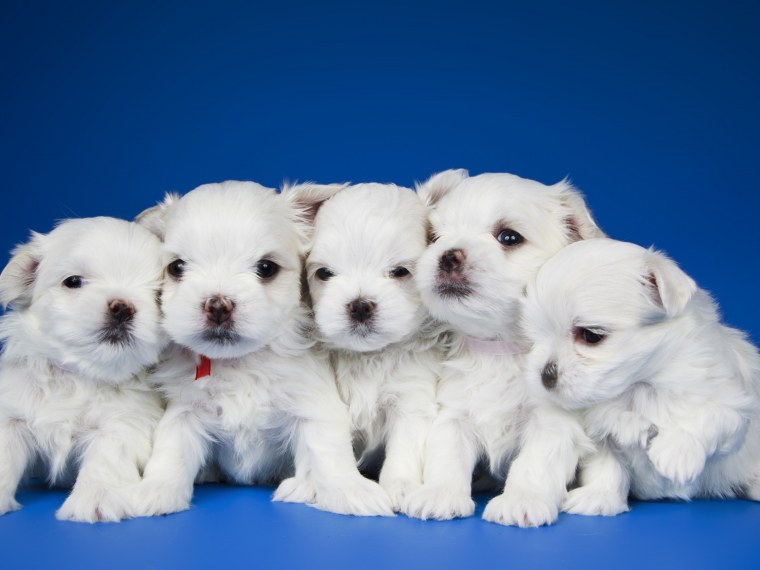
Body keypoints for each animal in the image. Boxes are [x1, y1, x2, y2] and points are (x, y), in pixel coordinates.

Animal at [0, 217, 165, 522]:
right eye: (73, 282)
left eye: (159, 295)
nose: (122, 307)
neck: (78, 374)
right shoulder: (11, 415)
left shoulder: (123, 422)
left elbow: (107, 456)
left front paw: (96, 498)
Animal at [132, 180, 393, 517]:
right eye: (176, 267)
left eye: (266, 268)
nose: (218, 305)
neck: (241, 362)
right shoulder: (185, 411)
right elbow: (171, 450)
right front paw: (155, 490)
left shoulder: (313, 406)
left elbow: (328, 451)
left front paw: (350, 490)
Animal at [289, 181, 443, 510]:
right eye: (324, 273)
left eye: (400, 272)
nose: (360, 305)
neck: (366, 356)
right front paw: (310, 483)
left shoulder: (411, 397)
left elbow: (404, 446)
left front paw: (401, 485)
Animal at [403, 169, 602, 527]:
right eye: (435, 238)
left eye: (509, 237)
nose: (448, 254)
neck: (499, 349)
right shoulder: (453, 412)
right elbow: (447, 454)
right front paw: (440, 494)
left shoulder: (553, 422)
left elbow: (534, 463)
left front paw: (521, 500)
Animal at [522, 237, 760, 515]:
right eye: (534, 338)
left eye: (591, 335)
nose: (545, 375)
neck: (637, 387)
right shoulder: (601, 435)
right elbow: (608, 467)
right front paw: (599, 496)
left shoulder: (734, 402)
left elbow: (707, 416)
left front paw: (675, 453)